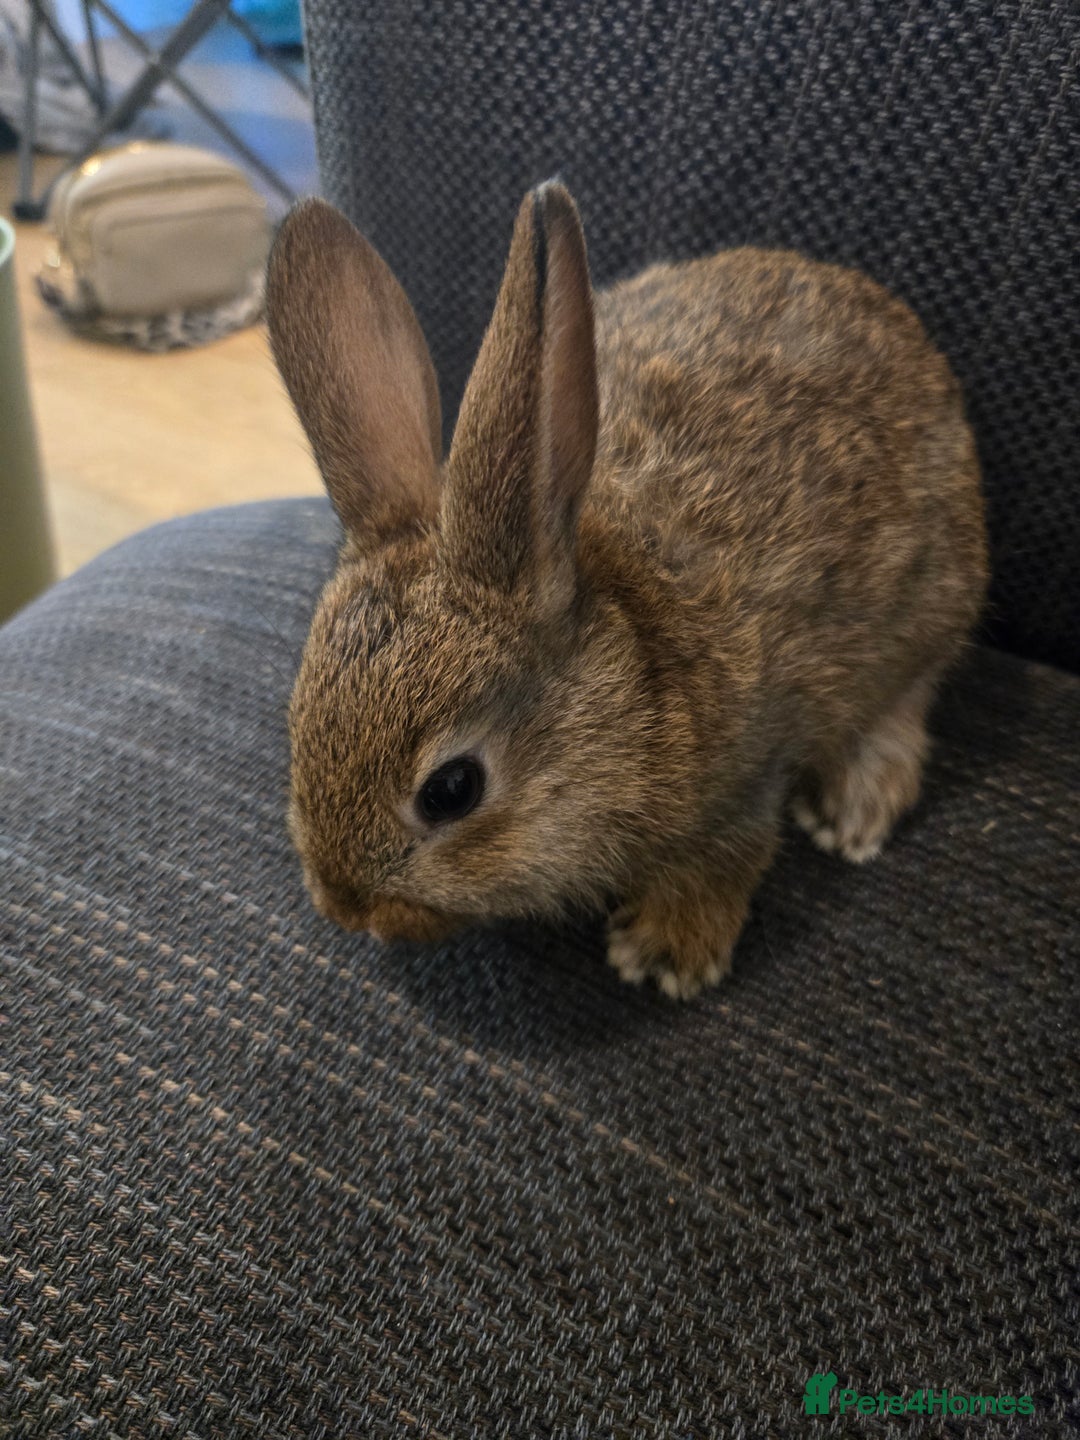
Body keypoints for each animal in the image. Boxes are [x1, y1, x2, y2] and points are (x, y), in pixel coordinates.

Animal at [266, 181, 987, 999]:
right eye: (296, 722)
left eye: (451, 790)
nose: (345, 905)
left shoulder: (749, 769)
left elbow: (731, 852)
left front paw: (665, 954)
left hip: (926, 608)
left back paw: (854, 812)